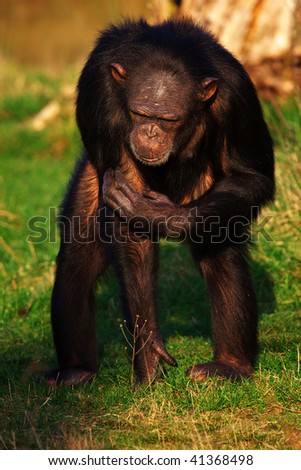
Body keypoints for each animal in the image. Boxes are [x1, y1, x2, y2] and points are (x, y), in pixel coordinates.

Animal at [46, 17, 272, 386]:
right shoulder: (101, 95)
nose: (150, 132)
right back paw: (76, 370)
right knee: (78, 260)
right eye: (140, 114)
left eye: (168, 120)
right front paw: (148, 350)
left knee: (221, 251)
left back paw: (230, 364)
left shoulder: (238, 97)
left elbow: (252, 174)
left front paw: (162, 217)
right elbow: (128, 224)